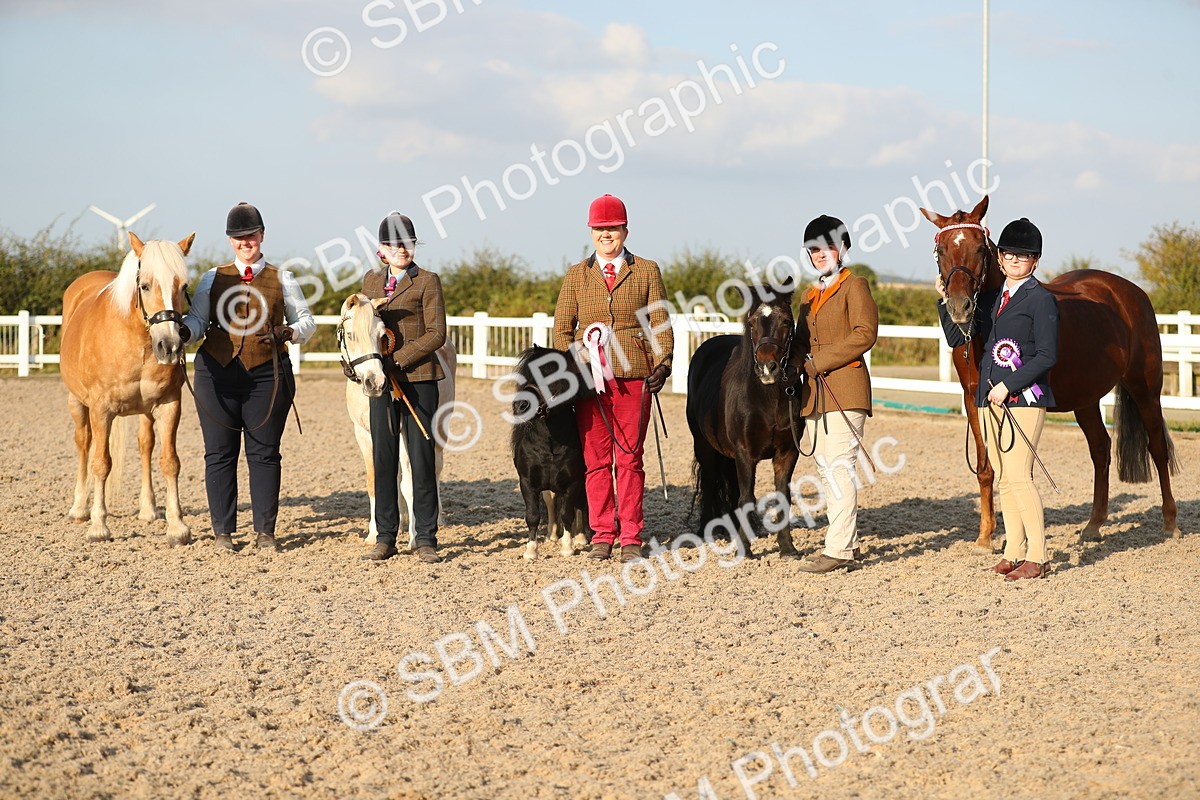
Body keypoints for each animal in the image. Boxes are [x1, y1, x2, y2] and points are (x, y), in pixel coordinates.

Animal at [60, 232, 195, 545]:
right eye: (144, 285)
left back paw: (148, 509)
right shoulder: (100, 410)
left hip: (145, 412)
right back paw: (79, 509)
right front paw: (98, 527)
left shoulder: (170, 405)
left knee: (145, 444)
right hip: (77, 403)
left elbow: (170, 461)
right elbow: (101, 463)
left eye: (183, 286)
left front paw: (177, 527)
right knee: (84, 444)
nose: (170, 346)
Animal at [509, 345, 592, 559]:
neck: (550, 445)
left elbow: (568, 513)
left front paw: (568, 547)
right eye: (526, 374)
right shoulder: (527, 483)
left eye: (551, 375)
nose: (520, 405)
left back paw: (580, 537)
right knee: (551, 503)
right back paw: (552, 535)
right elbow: (533, 515)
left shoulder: (573, 482)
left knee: (579, 505)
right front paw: (531, 551)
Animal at [686, 284, 807, 556]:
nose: (768, 369)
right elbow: (746, 497)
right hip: (704, 446)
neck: (768, 399)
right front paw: (744, 550)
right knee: (709, 483)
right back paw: (705, 531)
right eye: (751, 323)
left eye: (786, 321)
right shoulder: (744, 452)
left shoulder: (788, 453)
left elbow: (782, 496)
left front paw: (787, 546)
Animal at [921, 195, 1180, 548]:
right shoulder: (974, 400)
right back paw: (1094, 524)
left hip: (1145, 389)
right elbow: (987, 467)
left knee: (1157, 448)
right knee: (1100, 449)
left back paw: (1170, 523)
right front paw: (986, 536)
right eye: (942, 249)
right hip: (1086, 398)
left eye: (980, 248)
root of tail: (1132, 293)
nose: (960, 308)